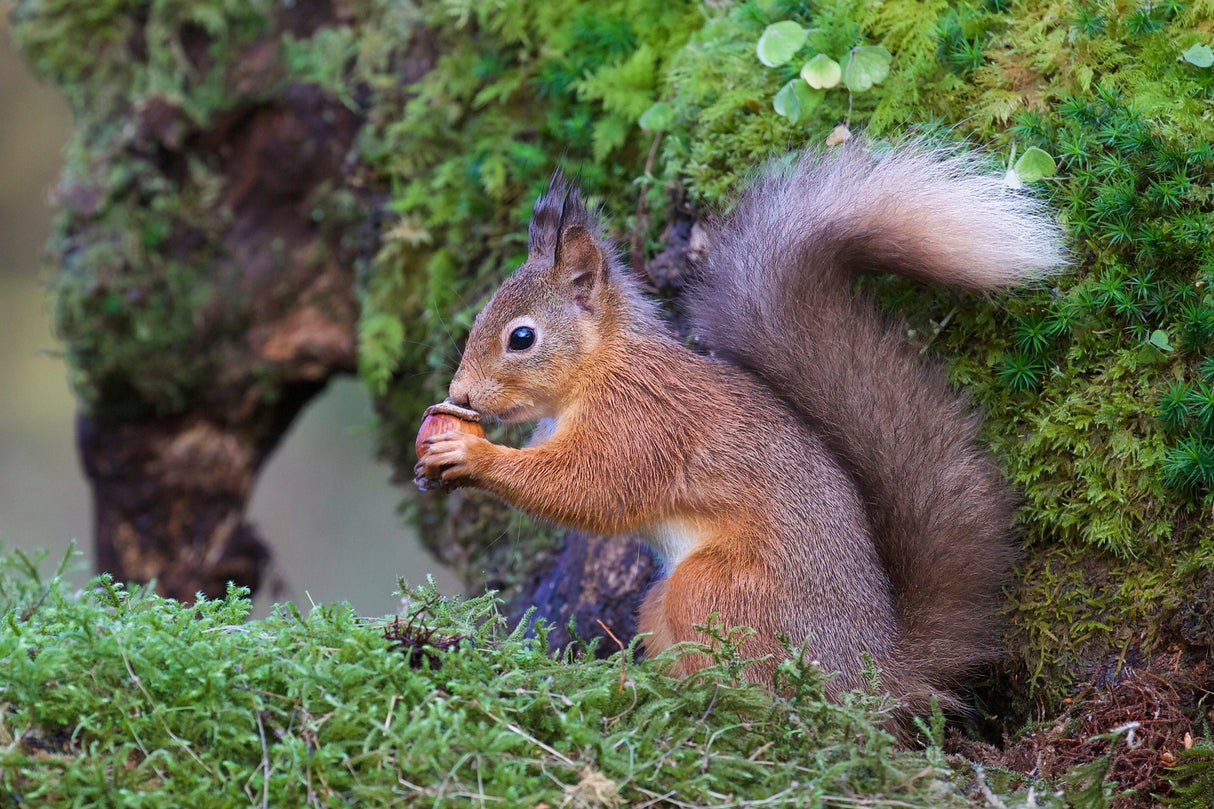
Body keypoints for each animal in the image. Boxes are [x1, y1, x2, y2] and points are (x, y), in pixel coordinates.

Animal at [415, 138, 1067, 716]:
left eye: (521, 337)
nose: (459, 395)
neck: (600, 370)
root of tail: (871, 677)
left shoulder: (642, 423)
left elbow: (588, 490)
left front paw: (473, 458)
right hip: (664, 601)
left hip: (715, 591)